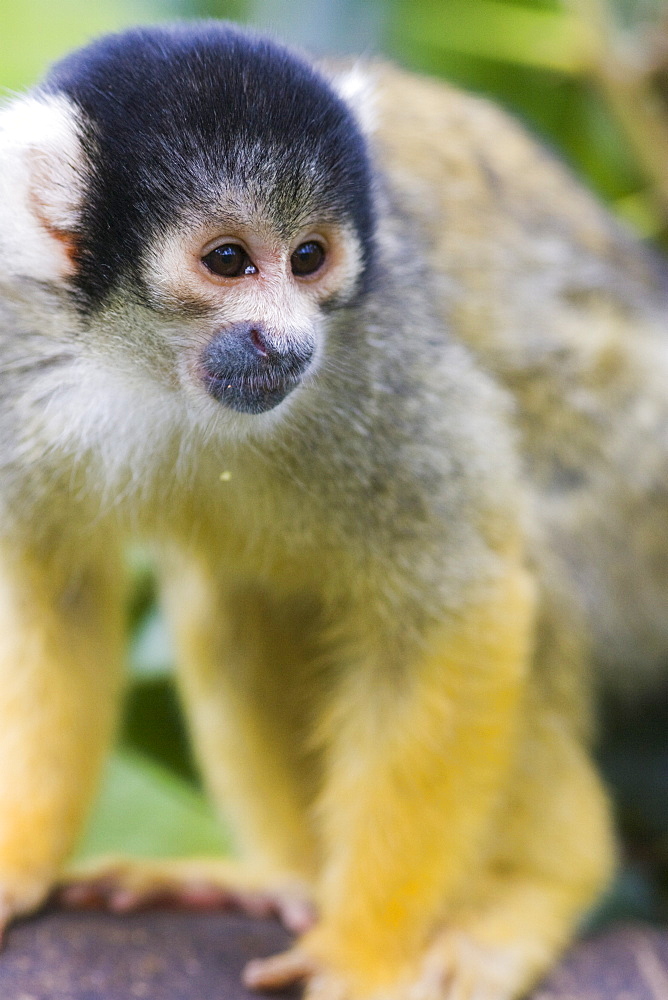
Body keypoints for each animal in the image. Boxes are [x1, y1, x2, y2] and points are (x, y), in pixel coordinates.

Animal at [1, 21, 668, 1000]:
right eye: (228, 260)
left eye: (309, 258)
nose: (287, 342)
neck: (146, 366)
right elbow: (55, 598)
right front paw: (18, 857)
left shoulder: (380, 352)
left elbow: (456, 600)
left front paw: (363, 956)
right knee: (224, 592)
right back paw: (289, 880)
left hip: (635, 500)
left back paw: (535, 891)